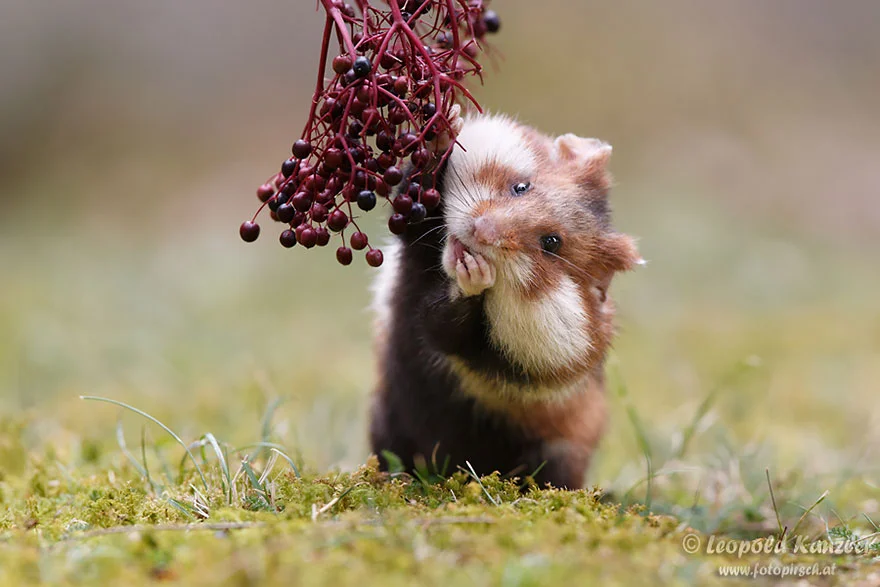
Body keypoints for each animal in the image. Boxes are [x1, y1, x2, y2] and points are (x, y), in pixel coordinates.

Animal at [369, 114, 642, 489]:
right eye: (522, 187)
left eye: (551, 243)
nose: (481, 230)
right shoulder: (412, 251)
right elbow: (413, 199)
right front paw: (445, 127)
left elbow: (447, 327)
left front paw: (473, 274)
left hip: (559, 453)